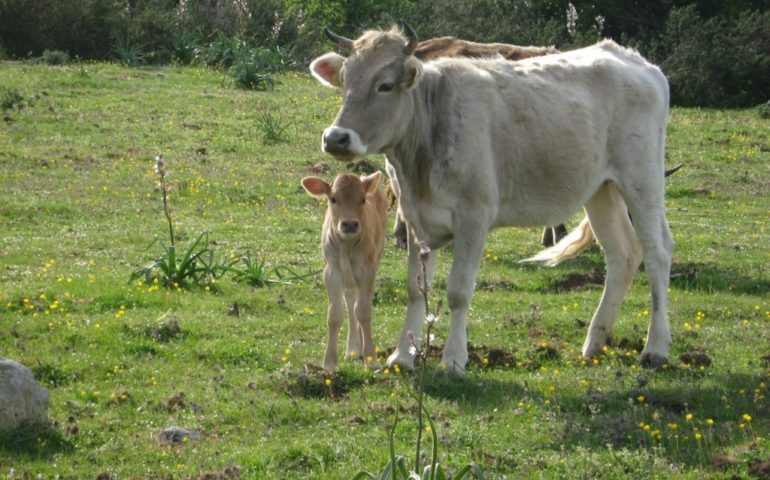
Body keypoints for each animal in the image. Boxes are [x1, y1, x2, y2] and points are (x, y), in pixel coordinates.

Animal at [298, 172, 384, 372]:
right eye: (333, 199)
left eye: (362, 199)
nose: (350, 224)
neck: (346, 246)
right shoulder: (331, 273)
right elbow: (335, 315)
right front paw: (329, 362)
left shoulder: (367, 271)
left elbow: (364, 312)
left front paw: (371, 358)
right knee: (350, 301)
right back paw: (353, 348)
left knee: (356, 305)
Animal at [308, 26, 668, 376]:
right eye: (345, 82)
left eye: (385, 85)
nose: (336, 138)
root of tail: (633, 60)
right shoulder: (415, 218)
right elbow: (414, 288)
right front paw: (402, 357)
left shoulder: (473, 215)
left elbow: (458, 291)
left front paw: (453, 361)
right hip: (600, 190)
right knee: (623, 255)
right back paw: (595, 342)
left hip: (643, 181)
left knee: (657, 254)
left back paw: (655, 349)